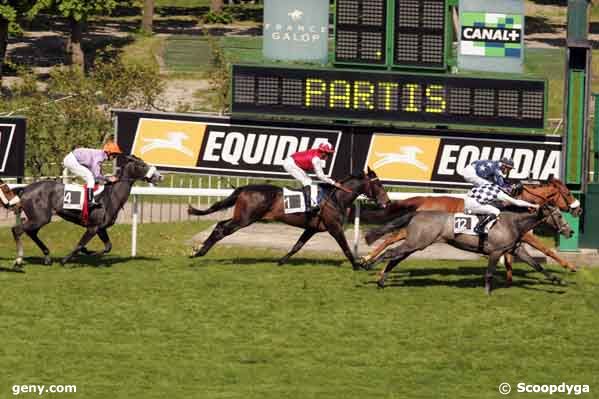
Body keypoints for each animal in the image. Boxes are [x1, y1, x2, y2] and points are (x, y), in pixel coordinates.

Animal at [13, 156, 164, 268]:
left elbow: (108, 246)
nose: (160, 176)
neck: (110, 196)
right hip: (40, 218)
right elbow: (80, 244)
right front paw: (66, 260)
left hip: (39, 218)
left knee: (31, 232)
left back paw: (46, 257)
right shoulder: (93, 227)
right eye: (142, 165)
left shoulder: (101, 228)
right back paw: (18, 260)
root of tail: (25, 189)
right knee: (17, 230)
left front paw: (90, 252)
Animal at [190, 167, 392, 270]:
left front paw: (281, 261)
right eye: (379, 185)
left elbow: (297, 246)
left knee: (220, 225)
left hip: (243, 217)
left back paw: (199, 250)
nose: (387, 201)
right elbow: (346, 248)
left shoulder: (312, 228)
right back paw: (198, 252)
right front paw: (358, 265)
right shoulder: (334, 227)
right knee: (221, 229)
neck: (336, 197)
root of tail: (244, 188)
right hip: (245, 219)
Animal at [364, 208, 576, 296]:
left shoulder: (515, 250)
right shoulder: (495, 252)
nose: (570, 231)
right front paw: (487, 292)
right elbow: (489, 273)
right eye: (558, 215)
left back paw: (381, 281)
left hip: (415, 244)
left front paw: (559, 281)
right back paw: (366, 264)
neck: (514, 223)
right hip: (416, 242)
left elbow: (539, 266)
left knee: (394, 258)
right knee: (390, 253)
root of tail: (417, 212)